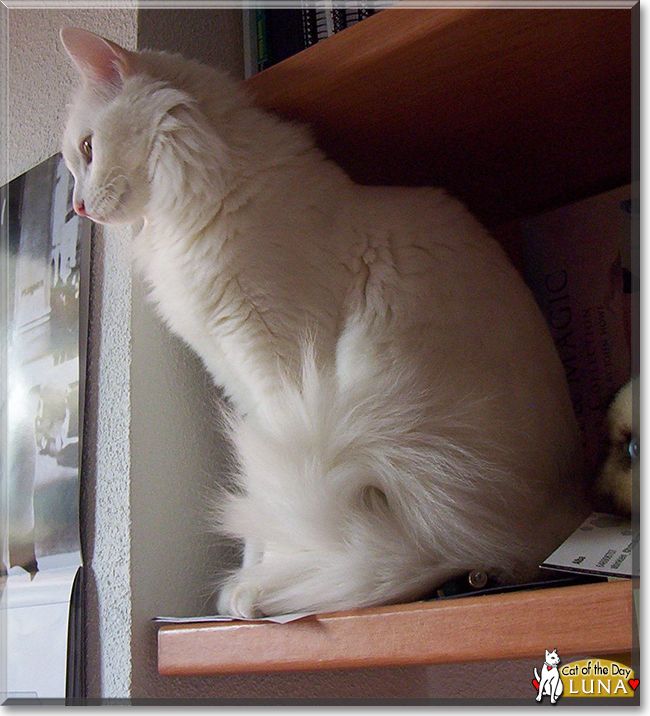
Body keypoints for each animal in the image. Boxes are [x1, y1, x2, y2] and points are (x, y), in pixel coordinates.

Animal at [62, 28, 588, 616]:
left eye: (88, 150)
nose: (78, 209)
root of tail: (554, 525)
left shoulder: (277, 362)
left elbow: (278, 510)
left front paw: (268, 579)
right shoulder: (239, 377)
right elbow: (263, 499)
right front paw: (250, 584)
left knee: (429, 551)